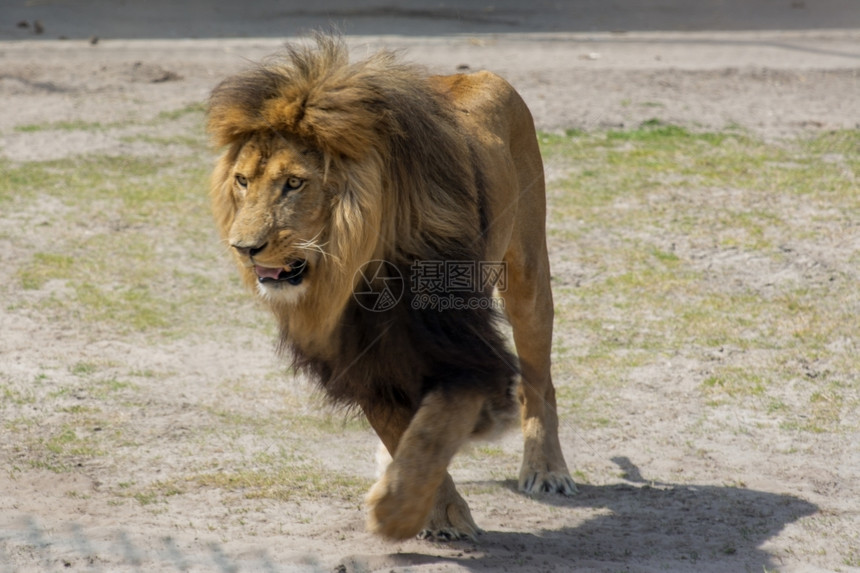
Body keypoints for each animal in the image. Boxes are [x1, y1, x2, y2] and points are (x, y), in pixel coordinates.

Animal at [205, 35, 576, 540]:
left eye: (294, 183)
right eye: (242, 181)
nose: (243, 247)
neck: (360, 273)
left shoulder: (459, 344)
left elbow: (434, 430)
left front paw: (401, 511)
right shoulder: (362, 359)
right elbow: (399, 429)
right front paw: (433, 509)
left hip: (528, 275)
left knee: (539, 383)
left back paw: (547, 469)